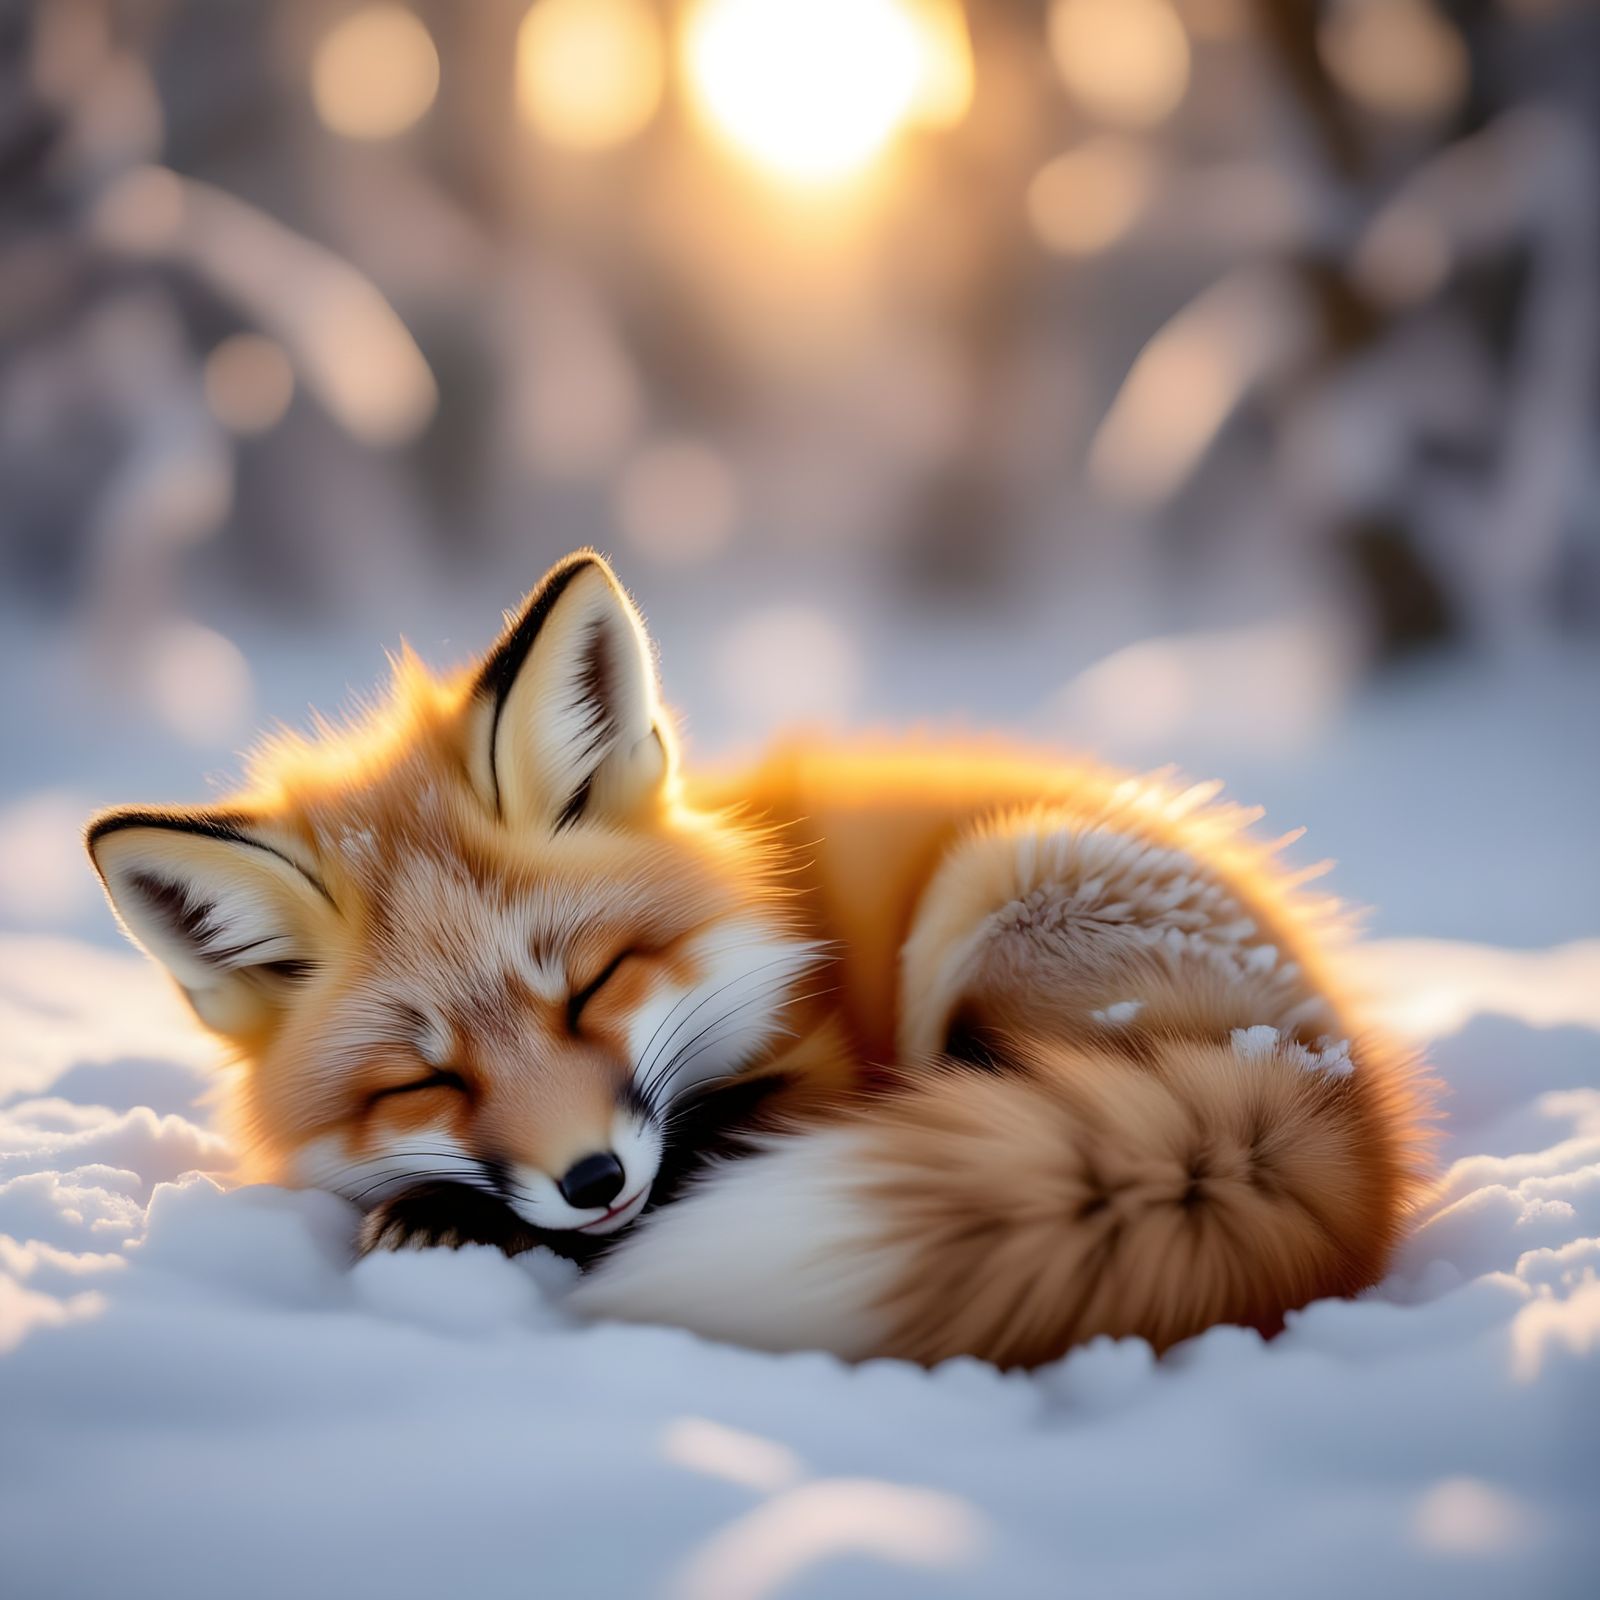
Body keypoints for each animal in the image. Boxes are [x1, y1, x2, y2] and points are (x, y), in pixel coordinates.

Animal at [87, 550, 1431, 1367]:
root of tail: (1325, 1075)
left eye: (592, 987)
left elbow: (703, 1153)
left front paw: (460, 1222)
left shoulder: (819, 1068)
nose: (587, 1179)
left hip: (989, 889)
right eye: (427, 1080)